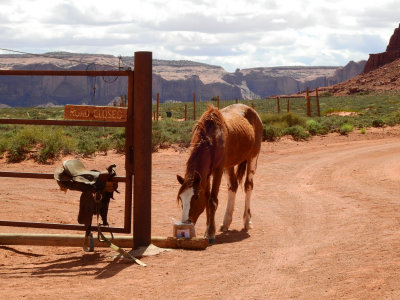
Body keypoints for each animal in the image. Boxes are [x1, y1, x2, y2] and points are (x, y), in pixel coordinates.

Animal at [177, 104, 264, 243]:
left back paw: (247, 221)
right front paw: (207, 230)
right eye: (180, 198)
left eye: (195, 197)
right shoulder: (205, 175)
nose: (185, 225)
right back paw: (226, 222)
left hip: (253, 157)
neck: (211, 138)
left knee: (248, 186)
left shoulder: (218, 170)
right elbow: (207, 200)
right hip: (229, 165)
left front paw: (210, 233)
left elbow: (212, 200)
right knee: (233, 186)